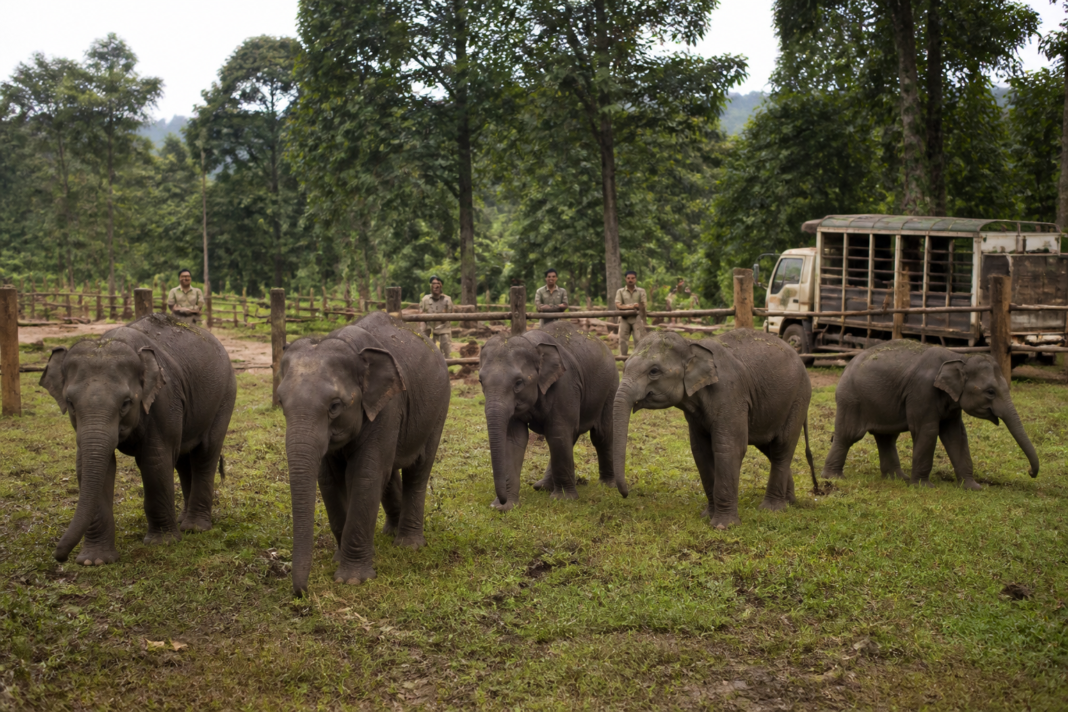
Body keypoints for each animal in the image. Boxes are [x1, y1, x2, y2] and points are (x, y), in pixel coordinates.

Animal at [39, 313, 236, 565]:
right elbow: (92, 466)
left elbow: (155, 460)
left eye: (126, 403)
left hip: (225, 397)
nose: (59, 556)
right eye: (70, 403)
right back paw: (182, 521)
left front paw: (163, 543)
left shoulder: (164, 400)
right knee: (183, 460)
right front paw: (94, 561)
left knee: (205, 454)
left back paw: (195, 528)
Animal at [276, 311, 449, 595]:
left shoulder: (388, 406)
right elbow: (329, 479)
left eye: (335, 406)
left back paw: (408, 544)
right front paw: (338, 559)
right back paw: (389, 532)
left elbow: (365, 475)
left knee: (418, 470)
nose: (301, 593)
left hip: (439, 407)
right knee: (389, 471)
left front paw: (352, 580)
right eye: (280, 402)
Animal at [479, 320, 622, 511]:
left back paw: (607, 485)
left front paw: (563, 500)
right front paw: (504, 507)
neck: (532, 343)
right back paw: (542, 486)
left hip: (610, 387)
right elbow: (513, 439)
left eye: (518, 382)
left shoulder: (566, 385)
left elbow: (557, 433)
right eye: (480, 381)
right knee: (572, 436)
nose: (499, 501)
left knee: (601, 435)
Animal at [613, 329, 817, 529]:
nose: (625, 494)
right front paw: (707, 516)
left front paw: (723, 526)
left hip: (798, 398)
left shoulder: (730, 395)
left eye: (654, 371)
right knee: (770, 449)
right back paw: (789, 502)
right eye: (625, 366)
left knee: (782, 447)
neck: (690, 344)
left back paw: (772, 509)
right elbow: (701, 451)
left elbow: (729, 448)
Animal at [821, 340, 1039, 489]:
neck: (960, 358)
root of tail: (847, 365)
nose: (1030, 472)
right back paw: (833, 478)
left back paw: (898, 478)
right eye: (990, 392)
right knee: (848, 435)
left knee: (887, 438)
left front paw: (973, 487)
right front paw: (923, 487)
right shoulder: (922, 392)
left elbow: (957, 435)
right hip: (851, 400)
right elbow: (927, 430)